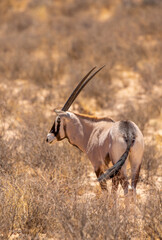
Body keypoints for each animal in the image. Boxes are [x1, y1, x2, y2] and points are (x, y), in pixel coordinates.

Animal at [46, 66, 144, 197]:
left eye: (58, 120)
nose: (48, 137)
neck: (92, 130)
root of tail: (128, 131)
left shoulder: (97, 165)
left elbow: (105, 191)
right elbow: (113, 192)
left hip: (121, 165)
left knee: (126, 187)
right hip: (135, 163)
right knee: (133, 187)